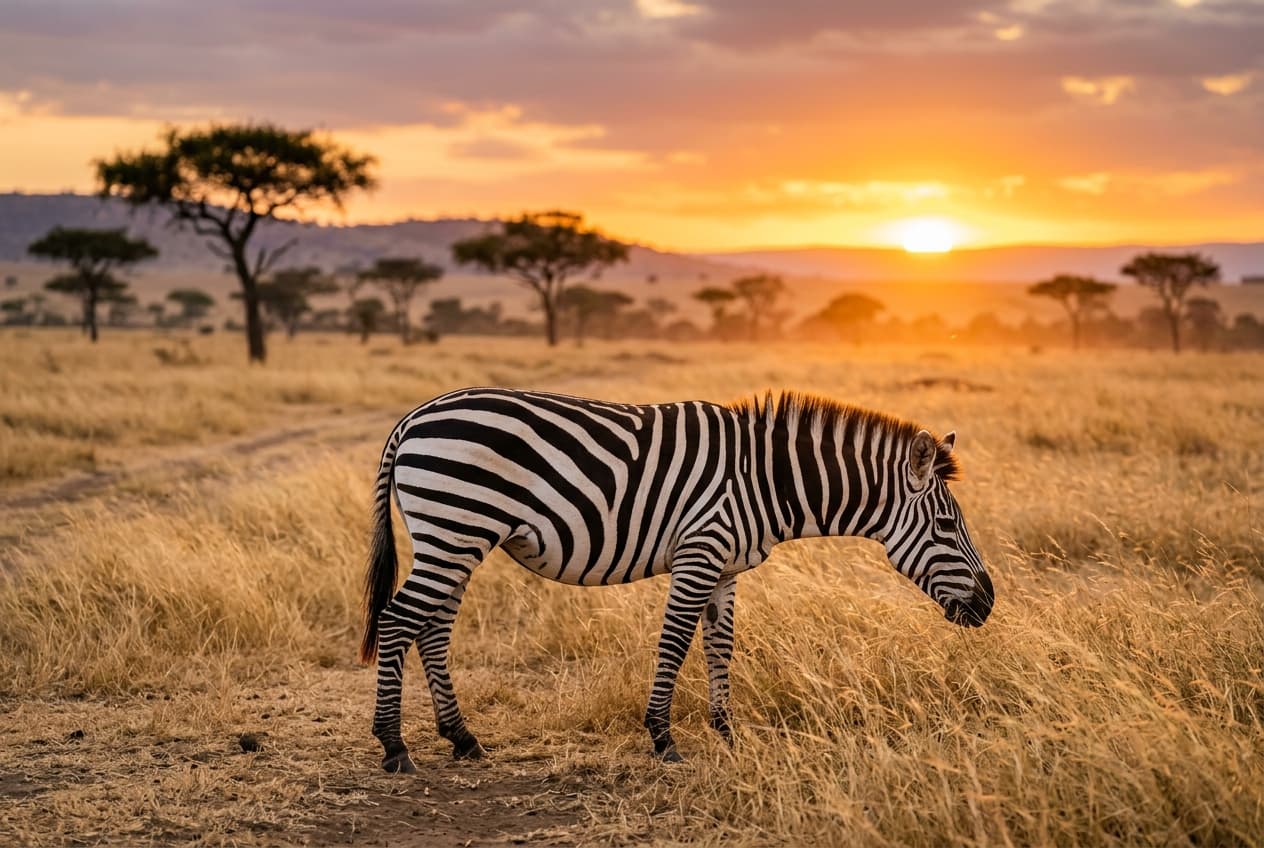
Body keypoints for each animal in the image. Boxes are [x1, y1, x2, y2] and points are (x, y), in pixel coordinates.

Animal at [360, 387, 993, 771]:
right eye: (946, 525)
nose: (988, 605)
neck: (766, 480)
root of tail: (413, 418)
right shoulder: (699, 553)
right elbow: (673, 643)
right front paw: (663, 739)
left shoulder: (726, 567)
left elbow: (720, 646)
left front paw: (727, 734)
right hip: (456, 525)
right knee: (397, 621)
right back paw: (394, 746)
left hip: (456, 537)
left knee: (432, 629)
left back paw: (463, 739)